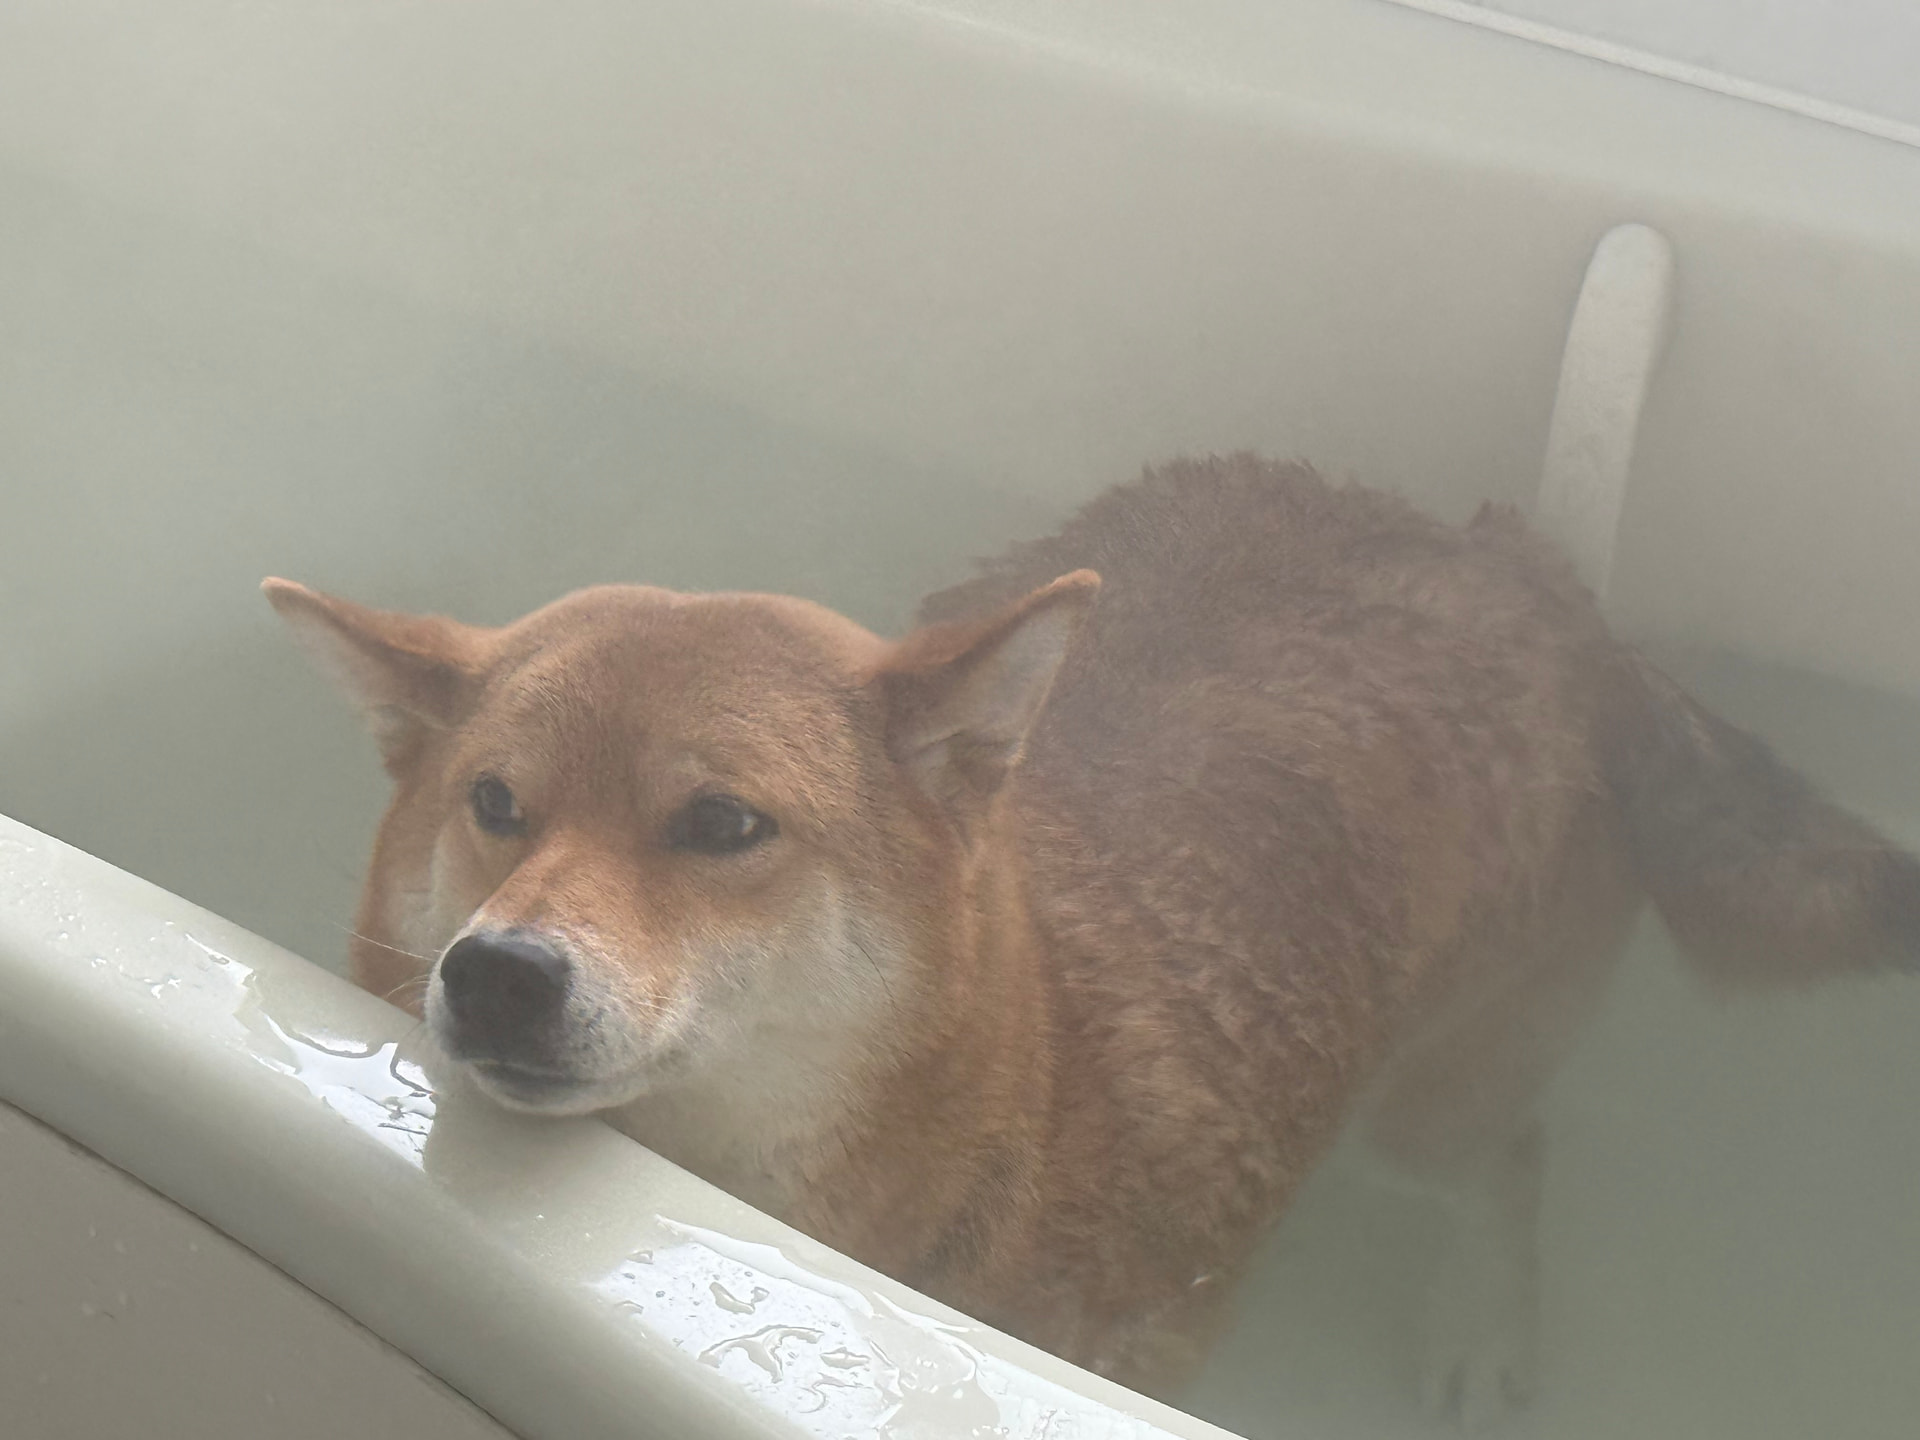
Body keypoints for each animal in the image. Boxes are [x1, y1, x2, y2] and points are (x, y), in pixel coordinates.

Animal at [265, 456, 1919, 1428]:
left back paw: (1483, 1331)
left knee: (1511, 1156)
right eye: (495, 804)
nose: (497, 972)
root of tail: (1535, 575)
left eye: (722, 824)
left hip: (1430, 1108)